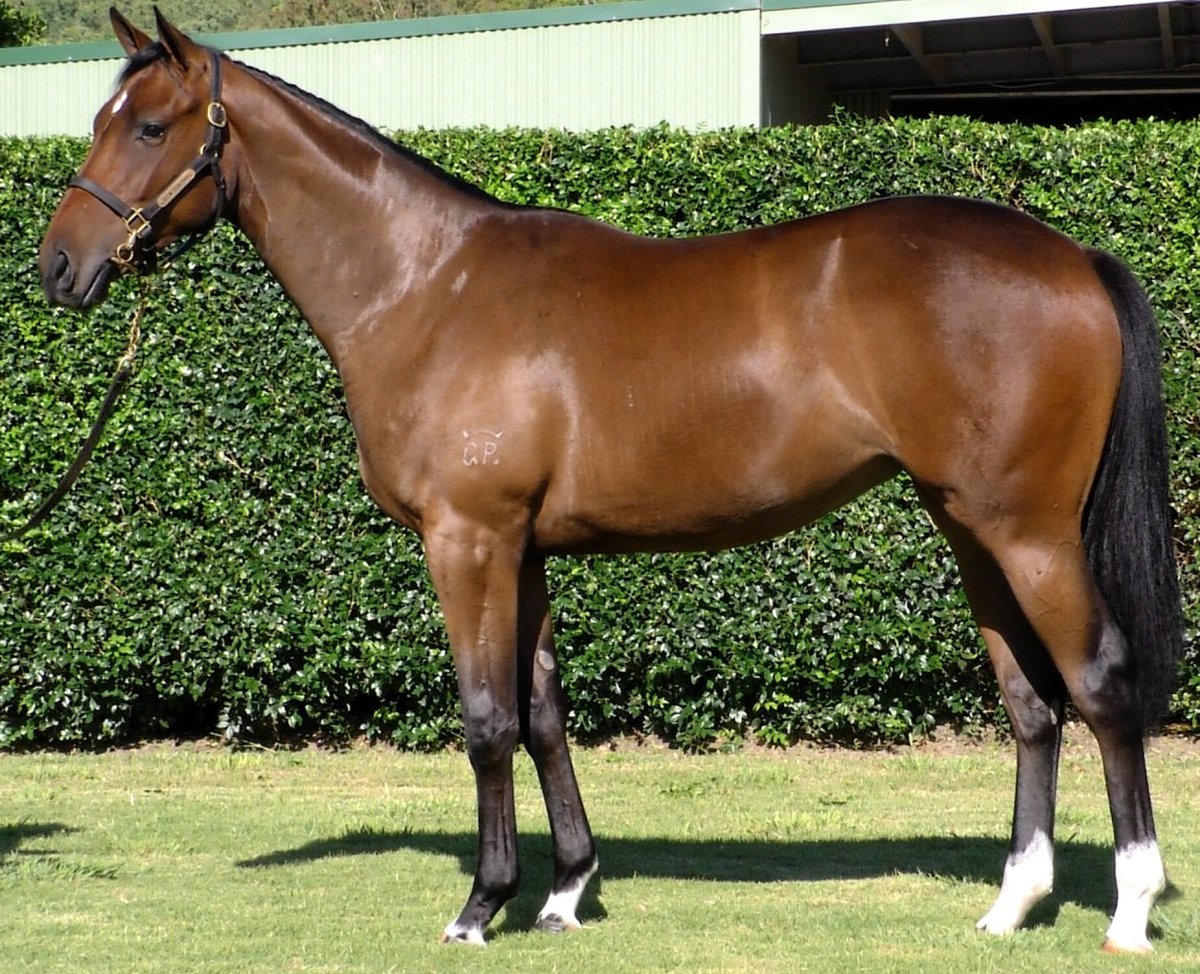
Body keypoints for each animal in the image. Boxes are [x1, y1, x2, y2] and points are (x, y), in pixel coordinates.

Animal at [39, 8, 1182, 953]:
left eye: (150, 127)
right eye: (101, 118)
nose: (56, 268)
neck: (428, 284)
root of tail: (1073, 256)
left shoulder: (468, 540)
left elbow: (486, 719)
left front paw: (480, 905)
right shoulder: (526, 550)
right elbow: (544, 712)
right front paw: (563, 891)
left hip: (1029, 532)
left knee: (1100, 684)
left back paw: (1129, 909)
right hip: (968, 526)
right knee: (1032, 703)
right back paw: (1012, 904)